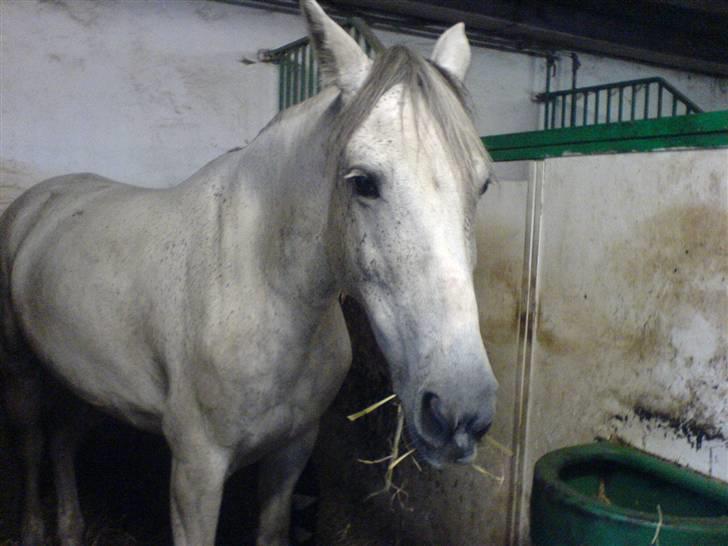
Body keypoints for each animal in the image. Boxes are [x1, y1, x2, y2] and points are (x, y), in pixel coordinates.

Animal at [0, 1, 498, 544]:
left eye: (483, 184)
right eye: (363, 181)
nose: (458, 412)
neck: (262, 290)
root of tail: (37, 201)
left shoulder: (292, 450)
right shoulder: (196, 470)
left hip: (82, 382)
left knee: (62, 441)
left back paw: (70, 528)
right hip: (22, 373)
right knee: (31, 443)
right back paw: (32, 528)